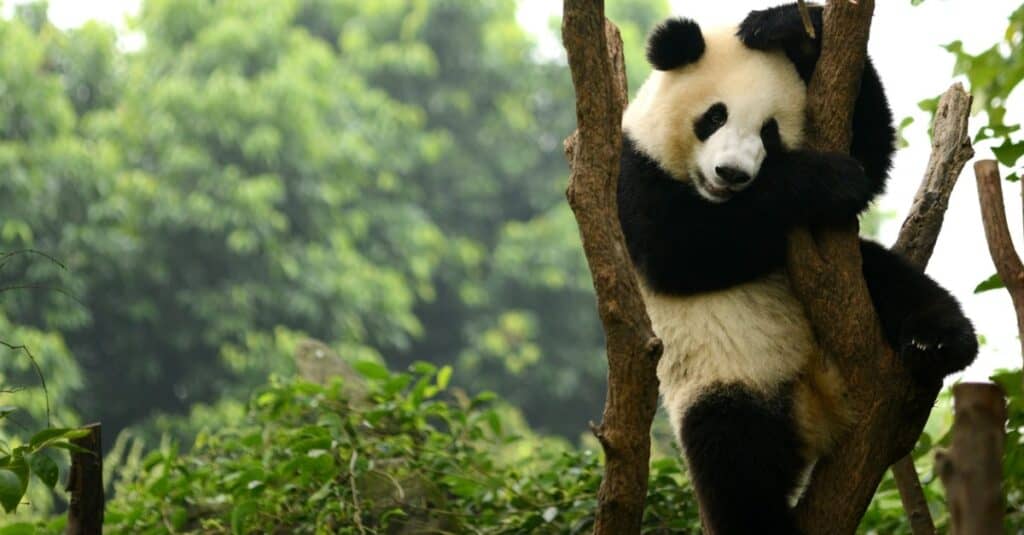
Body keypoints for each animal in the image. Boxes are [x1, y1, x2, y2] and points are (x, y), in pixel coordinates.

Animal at [618, 3, 978, 528]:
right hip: (724, 380)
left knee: (893, 280)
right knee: (733, 459)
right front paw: (827, 178)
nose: (732, 173)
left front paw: (788, 28)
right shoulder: (633, 170)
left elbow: (870, 149)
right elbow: (679, 250)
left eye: (770, 132)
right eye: (714, 116)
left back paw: (939, 342)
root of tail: (819, 408)